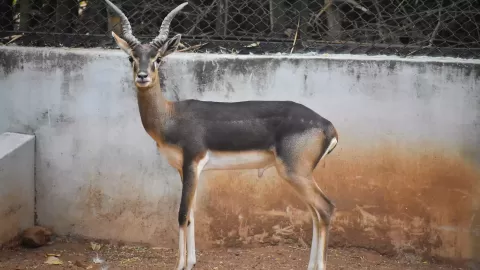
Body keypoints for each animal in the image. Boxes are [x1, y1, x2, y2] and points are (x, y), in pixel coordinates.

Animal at [103, 1, 340, 268]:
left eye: (158, 58)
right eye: (131, 57)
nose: (142, 76)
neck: (171, 116)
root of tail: (328, 126)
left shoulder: (193, 162)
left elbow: (182, 214)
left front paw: (181, 265)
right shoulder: (183, 169)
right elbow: (191, 214)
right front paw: (192, 261)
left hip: (294, 172)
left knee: (325, 209)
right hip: (299, 175)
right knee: (315, 213)